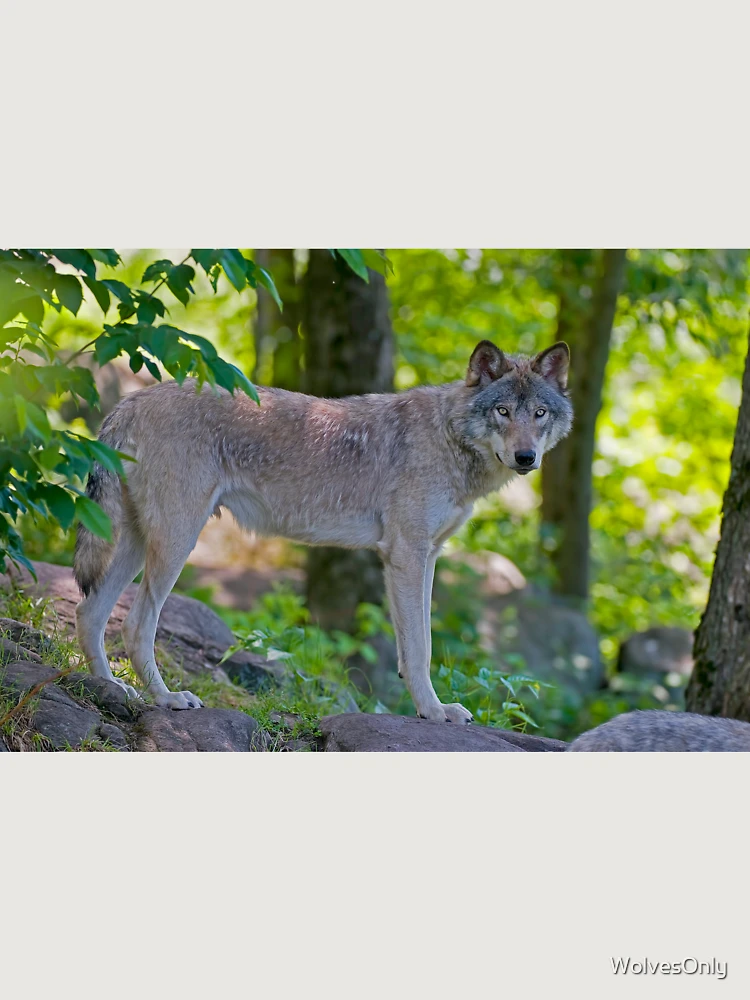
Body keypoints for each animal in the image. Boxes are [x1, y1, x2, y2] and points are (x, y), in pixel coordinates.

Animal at [74, 339, 572, 720]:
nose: (526, 457)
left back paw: (111, 690)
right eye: (503, 411)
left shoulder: (427, 556)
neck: (448, 437)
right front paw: (433, 712)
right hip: (177, 542)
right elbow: (419, 650)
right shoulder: (405, 555)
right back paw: (167, 699)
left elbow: (419, 645)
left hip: (138, 543)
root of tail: (131, 401)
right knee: (135, 623)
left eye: (540, 413)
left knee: (90, 612)